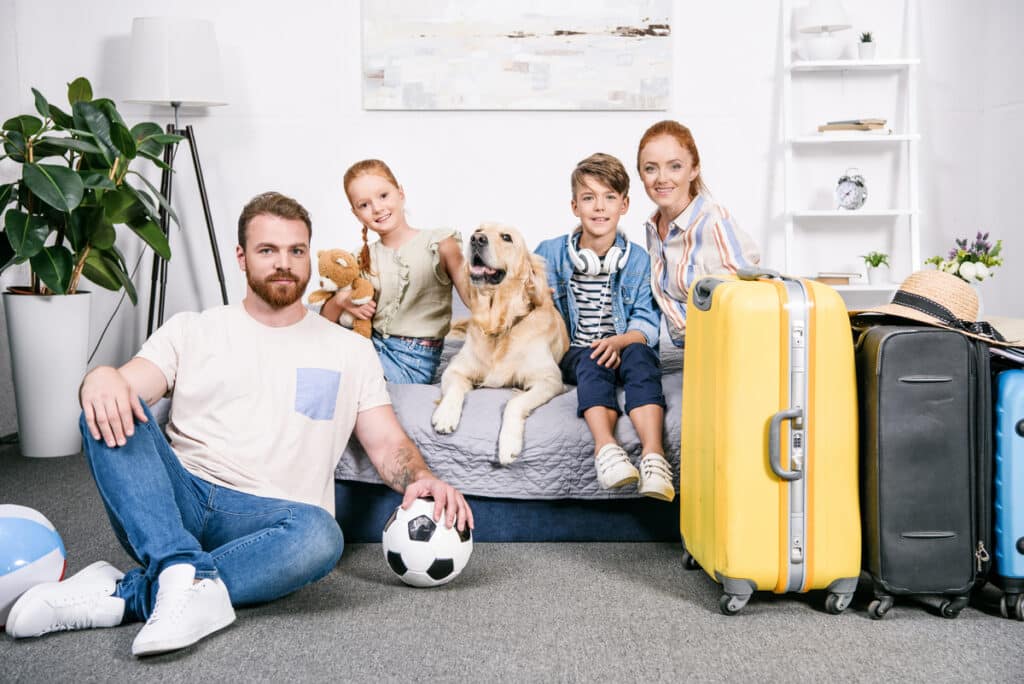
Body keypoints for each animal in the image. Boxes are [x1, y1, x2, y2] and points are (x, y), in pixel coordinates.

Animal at [430, 223, 569, 464]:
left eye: (506, 237)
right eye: (479, 229)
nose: (476, 239)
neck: (499, 326)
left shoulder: (550, 380)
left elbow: (515, 403)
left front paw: (509, 443)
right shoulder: (455, 369)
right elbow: (455, 388)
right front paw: (446, 415)